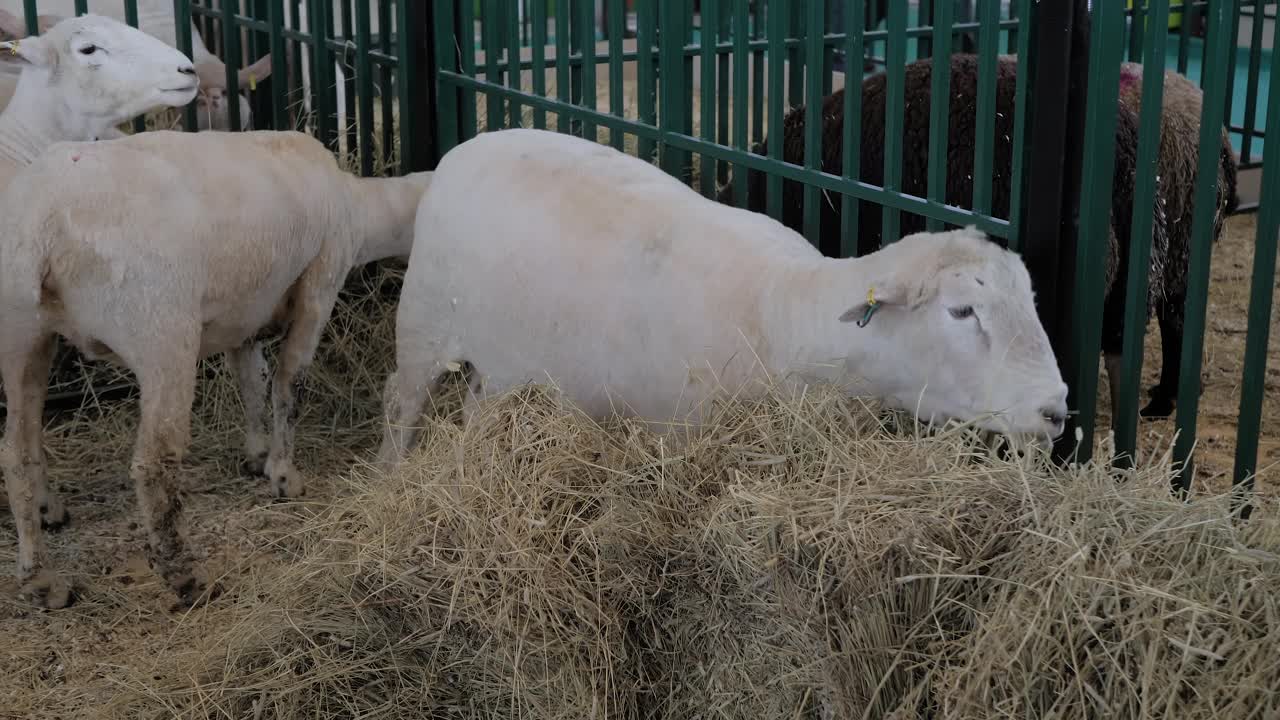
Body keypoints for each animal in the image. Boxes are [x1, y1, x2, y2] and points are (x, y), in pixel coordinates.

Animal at [0, 127, 432, 604]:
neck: (359, 204)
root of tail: (40, 223)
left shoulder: (244, 312)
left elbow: (251, 379)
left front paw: (258, 453)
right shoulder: (321, 282)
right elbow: (289, 383)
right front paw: (284, 476)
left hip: (23, 334)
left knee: (16, 450)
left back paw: (42, 573)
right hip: (160, 328)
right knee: (154, 461)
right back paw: (185, 577)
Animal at [373, 126, 1070, 468]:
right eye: (962, 311)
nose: (1058, 411)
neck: (784, 311)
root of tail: (465, 148)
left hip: (501, 359)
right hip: (424, 320)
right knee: (399, 401)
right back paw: (391, 474)